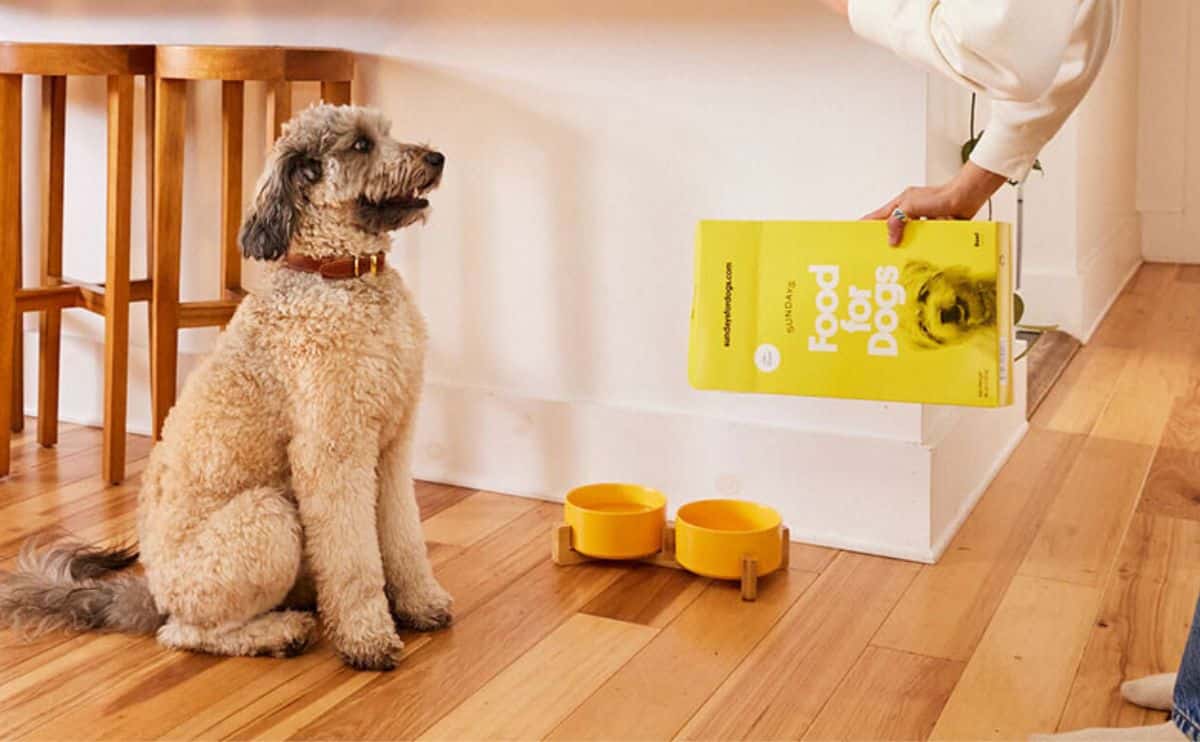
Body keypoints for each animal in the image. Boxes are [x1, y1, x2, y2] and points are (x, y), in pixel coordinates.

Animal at [0, 102, 451, 672]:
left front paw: (418, 603)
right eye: (361, 145)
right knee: (188, 633)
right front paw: (367, 638)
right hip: (268, 519)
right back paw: (280, 632)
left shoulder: (390, 446)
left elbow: (403, 535)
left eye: (386, 132)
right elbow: (354, 560)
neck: (340, 274)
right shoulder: (333, 453)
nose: (437, 158)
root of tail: (153, 591)